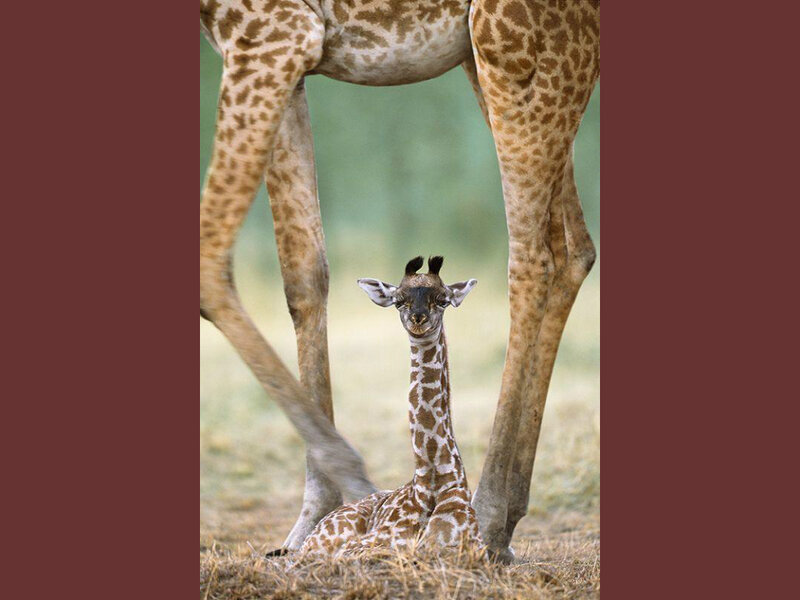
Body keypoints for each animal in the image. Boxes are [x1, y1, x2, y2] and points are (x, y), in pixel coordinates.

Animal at [299, 256, 482, 557]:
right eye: (398, 301)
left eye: (443, 300)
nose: (418, 319)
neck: (432, 481)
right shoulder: (365, 546)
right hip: (322, 540)